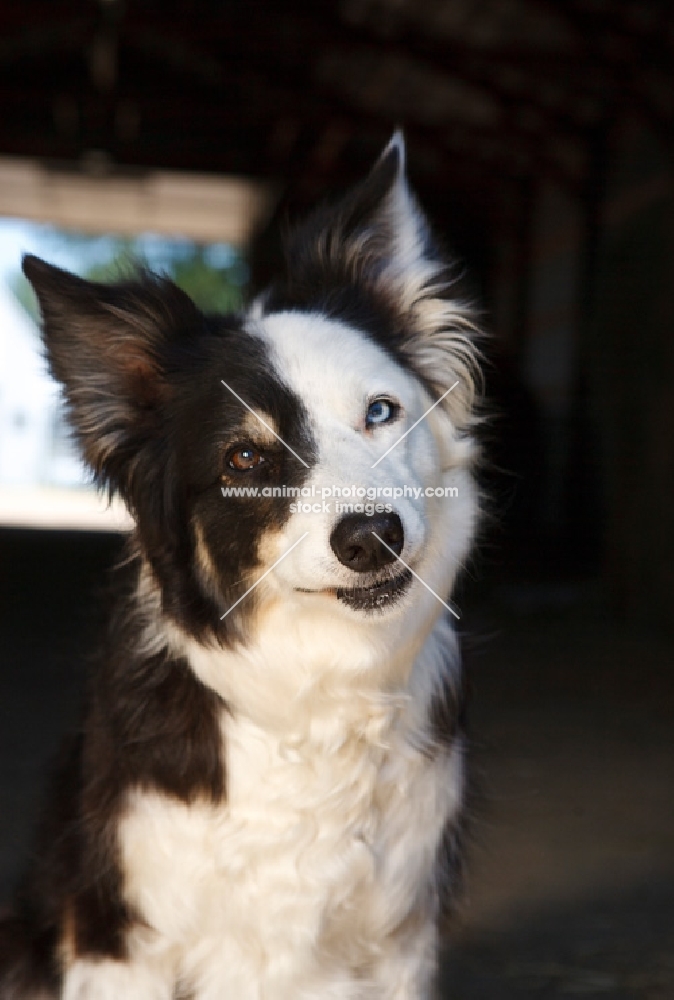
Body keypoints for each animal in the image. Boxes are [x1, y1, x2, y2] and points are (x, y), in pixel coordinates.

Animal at [2, 135, 480, 1000]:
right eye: (245, 458)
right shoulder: (119, 938)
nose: (373, 539)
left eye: (381, 412)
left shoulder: (399, 938)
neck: (315, 692)